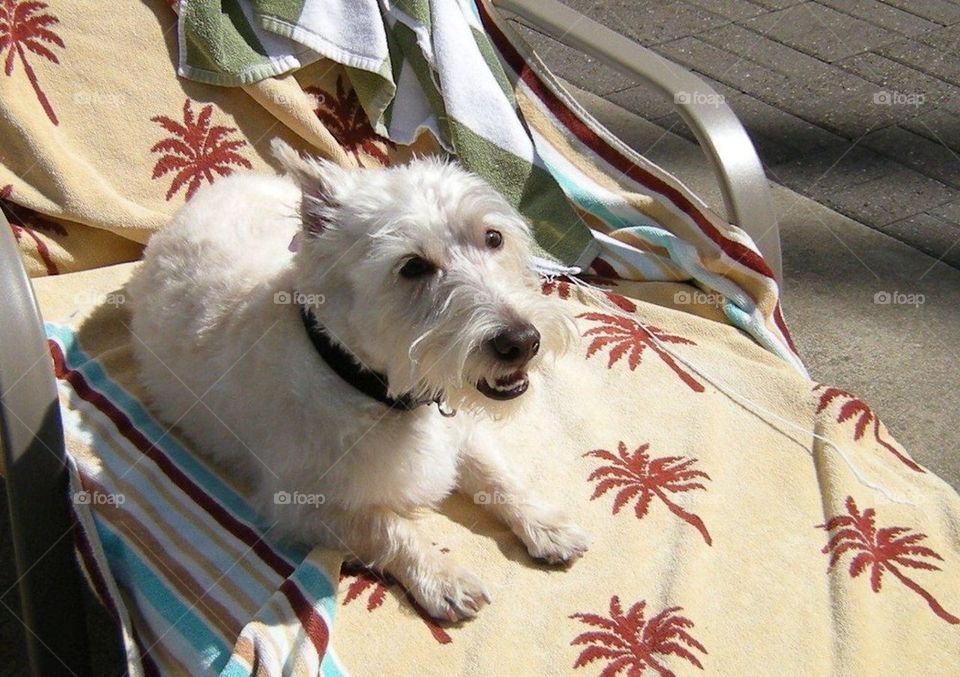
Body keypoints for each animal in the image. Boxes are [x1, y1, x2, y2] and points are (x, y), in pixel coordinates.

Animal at [129, 140, 584, 620]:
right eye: (413, 267)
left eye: (493, 237)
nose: (523, 341)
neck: (369, 383)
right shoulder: (303, 506)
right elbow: (388, 527)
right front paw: (443, 577)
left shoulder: (462, 433)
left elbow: (498, 477)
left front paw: (545, 525)